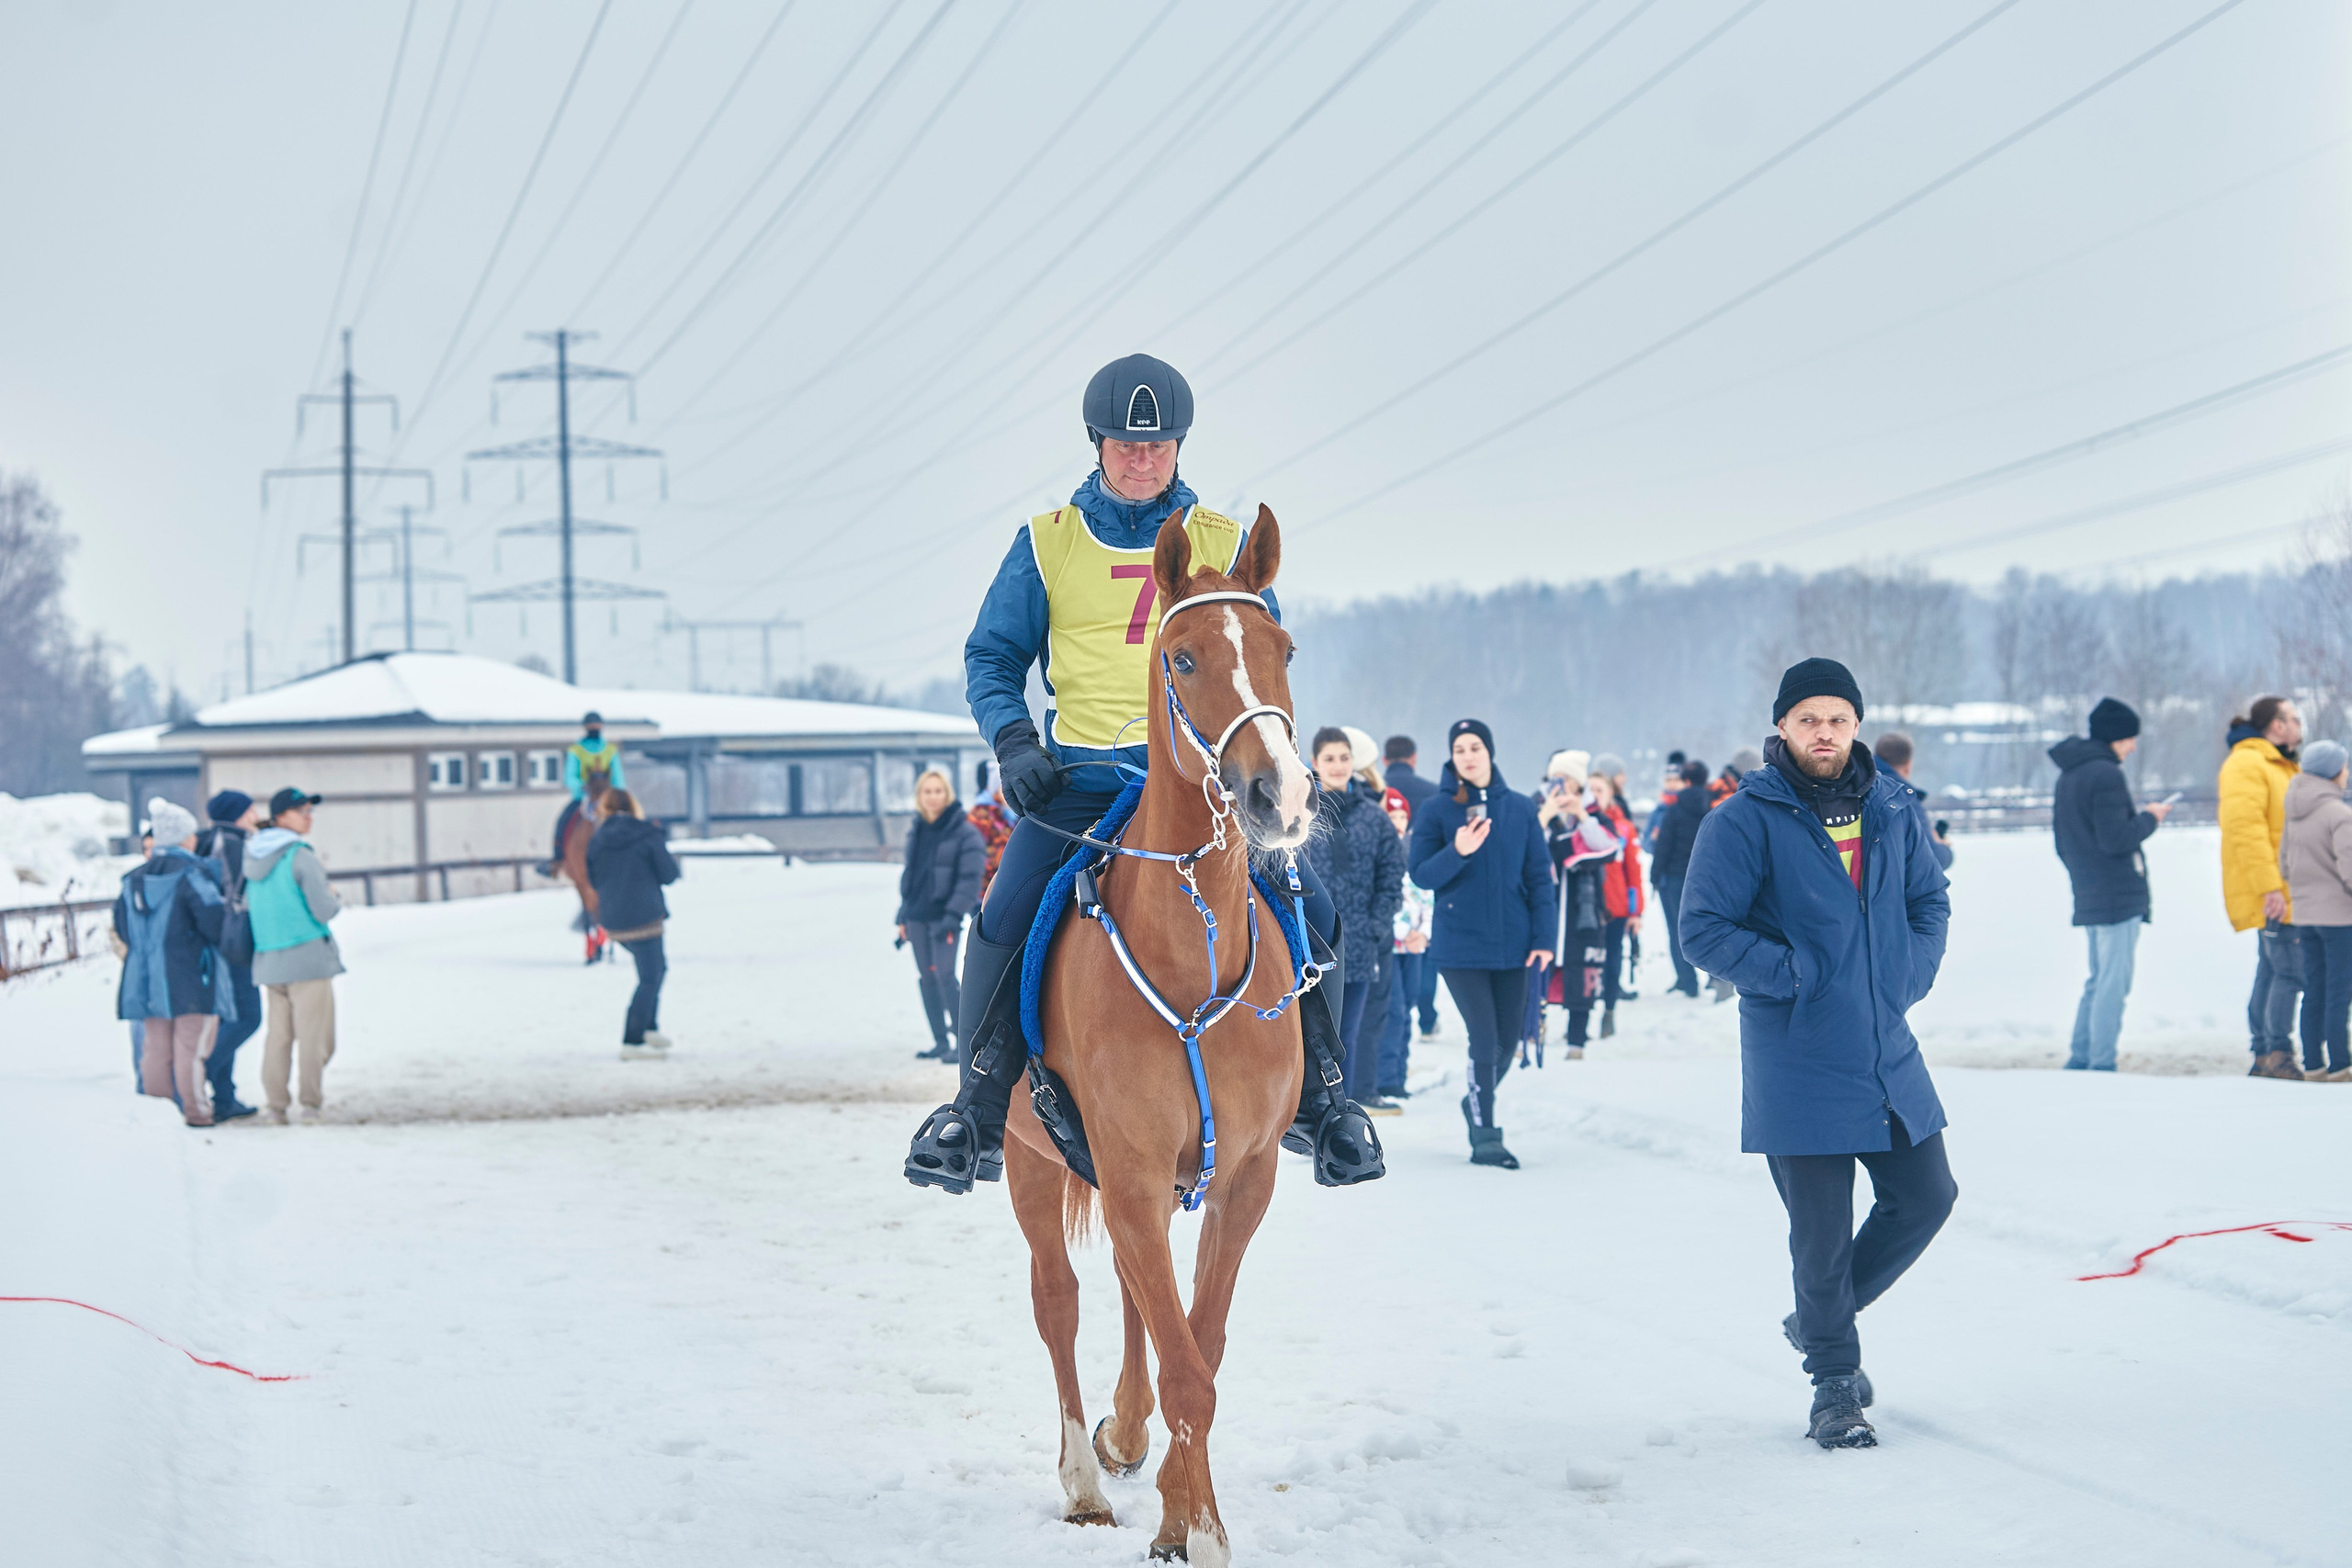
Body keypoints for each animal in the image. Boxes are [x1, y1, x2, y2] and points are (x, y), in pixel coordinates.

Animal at [559, 765, 615, 964]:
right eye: (590, 790)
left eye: (608, 788)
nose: (600, 813)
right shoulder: (581, 882)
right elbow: (589, 916)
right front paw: (593, 954)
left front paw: (604, 949)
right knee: (591, 913)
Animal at [1002, 505, 1316, 1565]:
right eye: (1181, 658)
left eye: (1281, 649)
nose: (1277, 796)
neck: (1191, 953)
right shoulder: (1131, 1171)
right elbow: (1184, 1366)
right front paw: (1205, 1531)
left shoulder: (1242, 1177)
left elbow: (1199, 1346)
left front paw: (1181, 1512)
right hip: (1029, 1158)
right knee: (1057, 1300)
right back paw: (1083, 1478)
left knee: (1141, 1302)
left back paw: (1127, 1440)